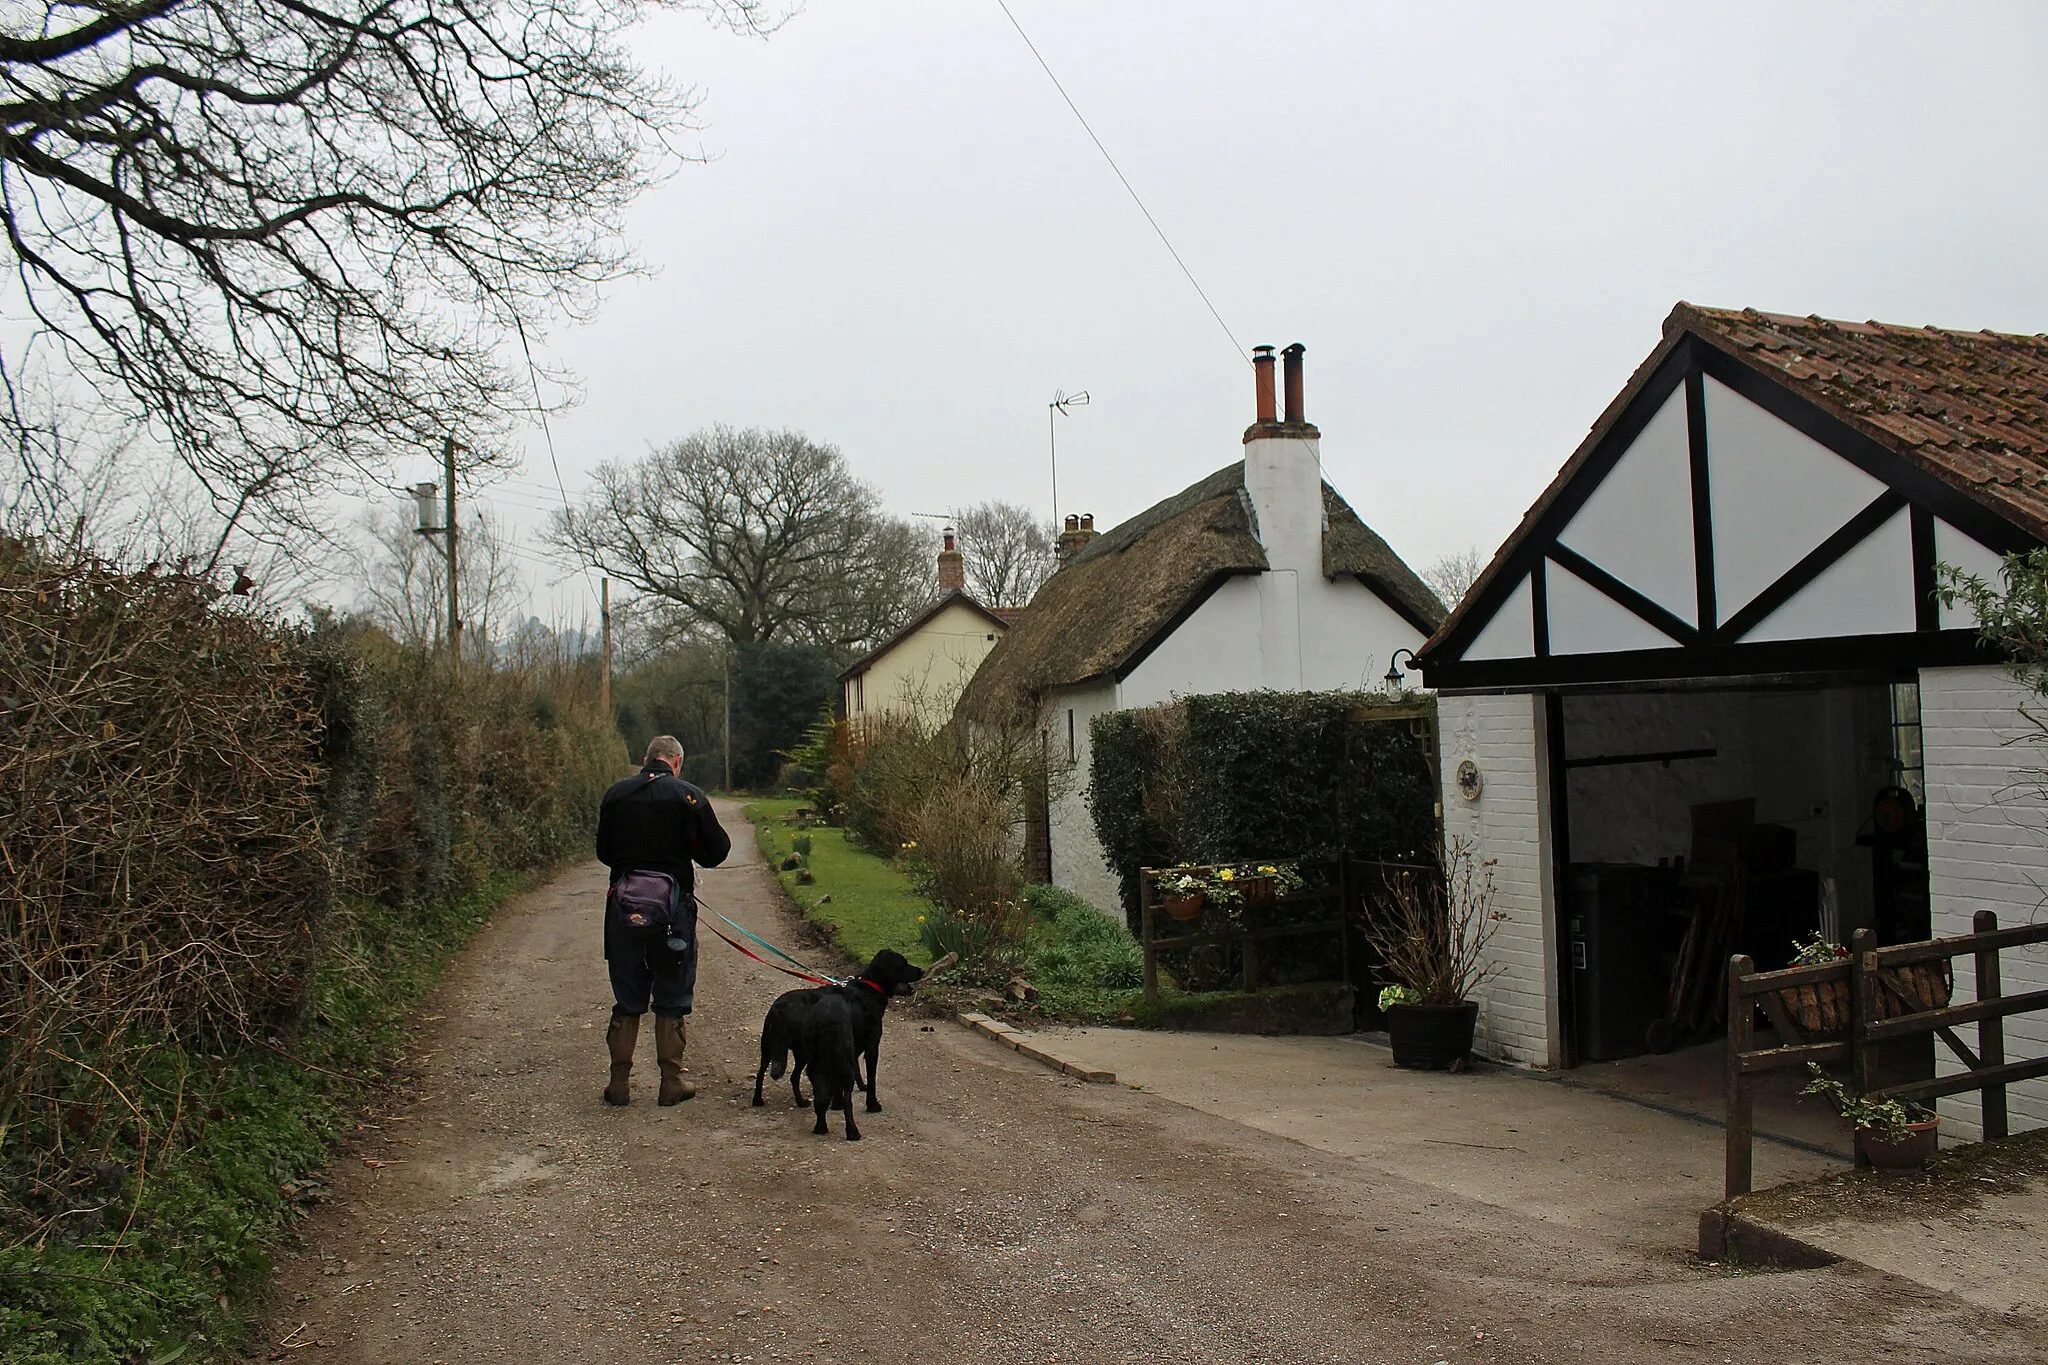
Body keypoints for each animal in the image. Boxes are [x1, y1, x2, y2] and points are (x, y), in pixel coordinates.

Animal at [753, 957, 929, 1113]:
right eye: (903, 963)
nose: (923, 970)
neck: (869, 988)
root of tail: (781, 1008)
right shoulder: (871, 1046)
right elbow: (871, 1079)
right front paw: (872, 1105)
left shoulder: (851, 1045)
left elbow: (854, 1070)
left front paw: (848, 1095)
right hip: (802, 1051)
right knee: (793, 1076)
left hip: (770, 1048)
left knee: (765, 1074)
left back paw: (764, 1101)